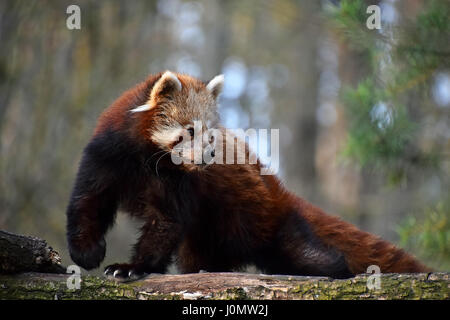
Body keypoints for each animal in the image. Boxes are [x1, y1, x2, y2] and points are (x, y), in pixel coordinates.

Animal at [66, 70, 428, 280]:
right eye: (190, 131)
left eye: (212, 136)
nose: (210, 155)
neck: (147, 160)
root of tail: (280, 191)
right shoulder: (106, 157)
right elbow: (87, 202)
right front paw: (87, 253)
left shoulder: (176, 184)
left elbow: (165, 223)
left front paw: (132, 267)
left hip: (261, 221)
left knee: (301, 251)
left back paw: (336, 268)